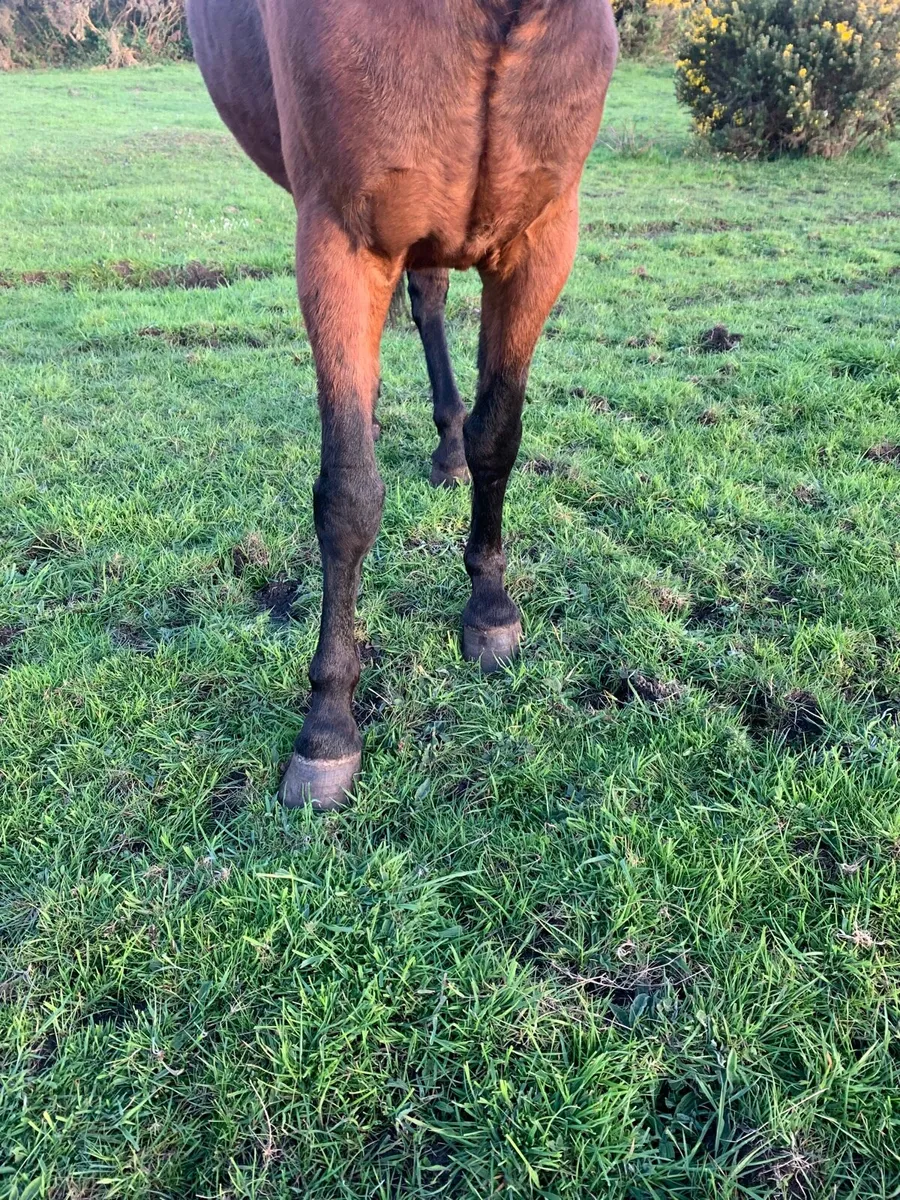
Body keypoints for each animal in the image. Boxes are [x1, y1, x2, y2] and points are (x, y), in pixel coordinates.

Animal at [186, 0, 618, 809]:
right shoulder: (342, 243)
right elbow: (349, 495)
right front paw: (327, 728)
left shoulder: (541, 242)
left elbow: (497, 436)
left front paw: (490, 610)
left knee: (431, 301)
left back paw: (443, 447)